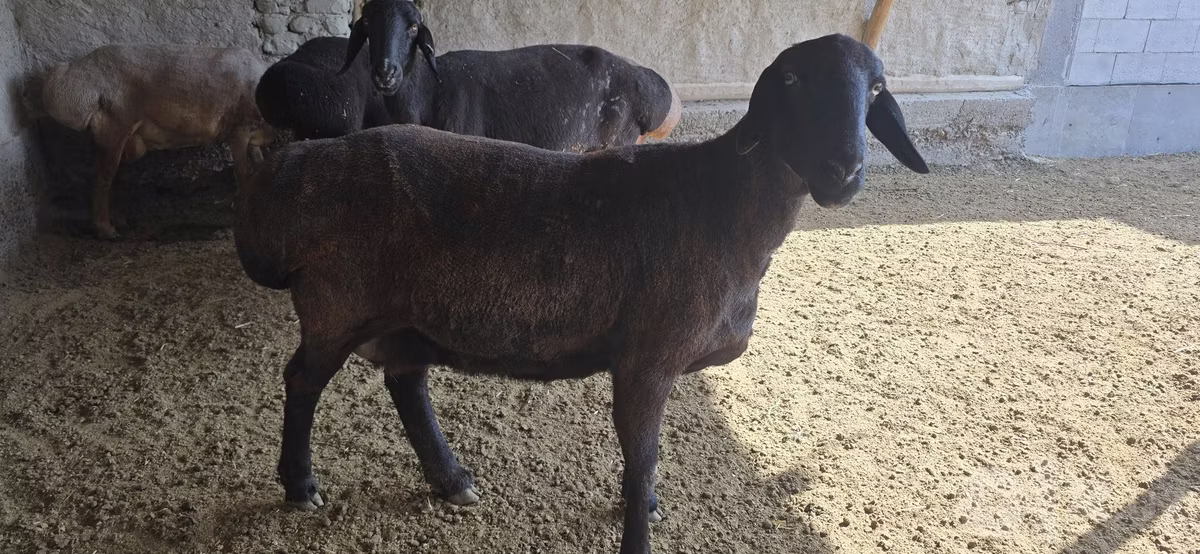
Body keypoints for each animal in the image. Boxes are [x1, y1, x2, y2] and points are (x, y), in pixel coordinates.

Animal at [41, 44, 275, 239]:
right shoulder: (239, 130)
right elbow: (243, 173)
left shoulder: (252, 138)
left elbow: (260, 166)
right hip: (114, 128)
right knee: (102, 179)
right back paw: (106, 230)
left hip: (127, 141)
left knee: (115, 176)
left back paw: (120, 220)